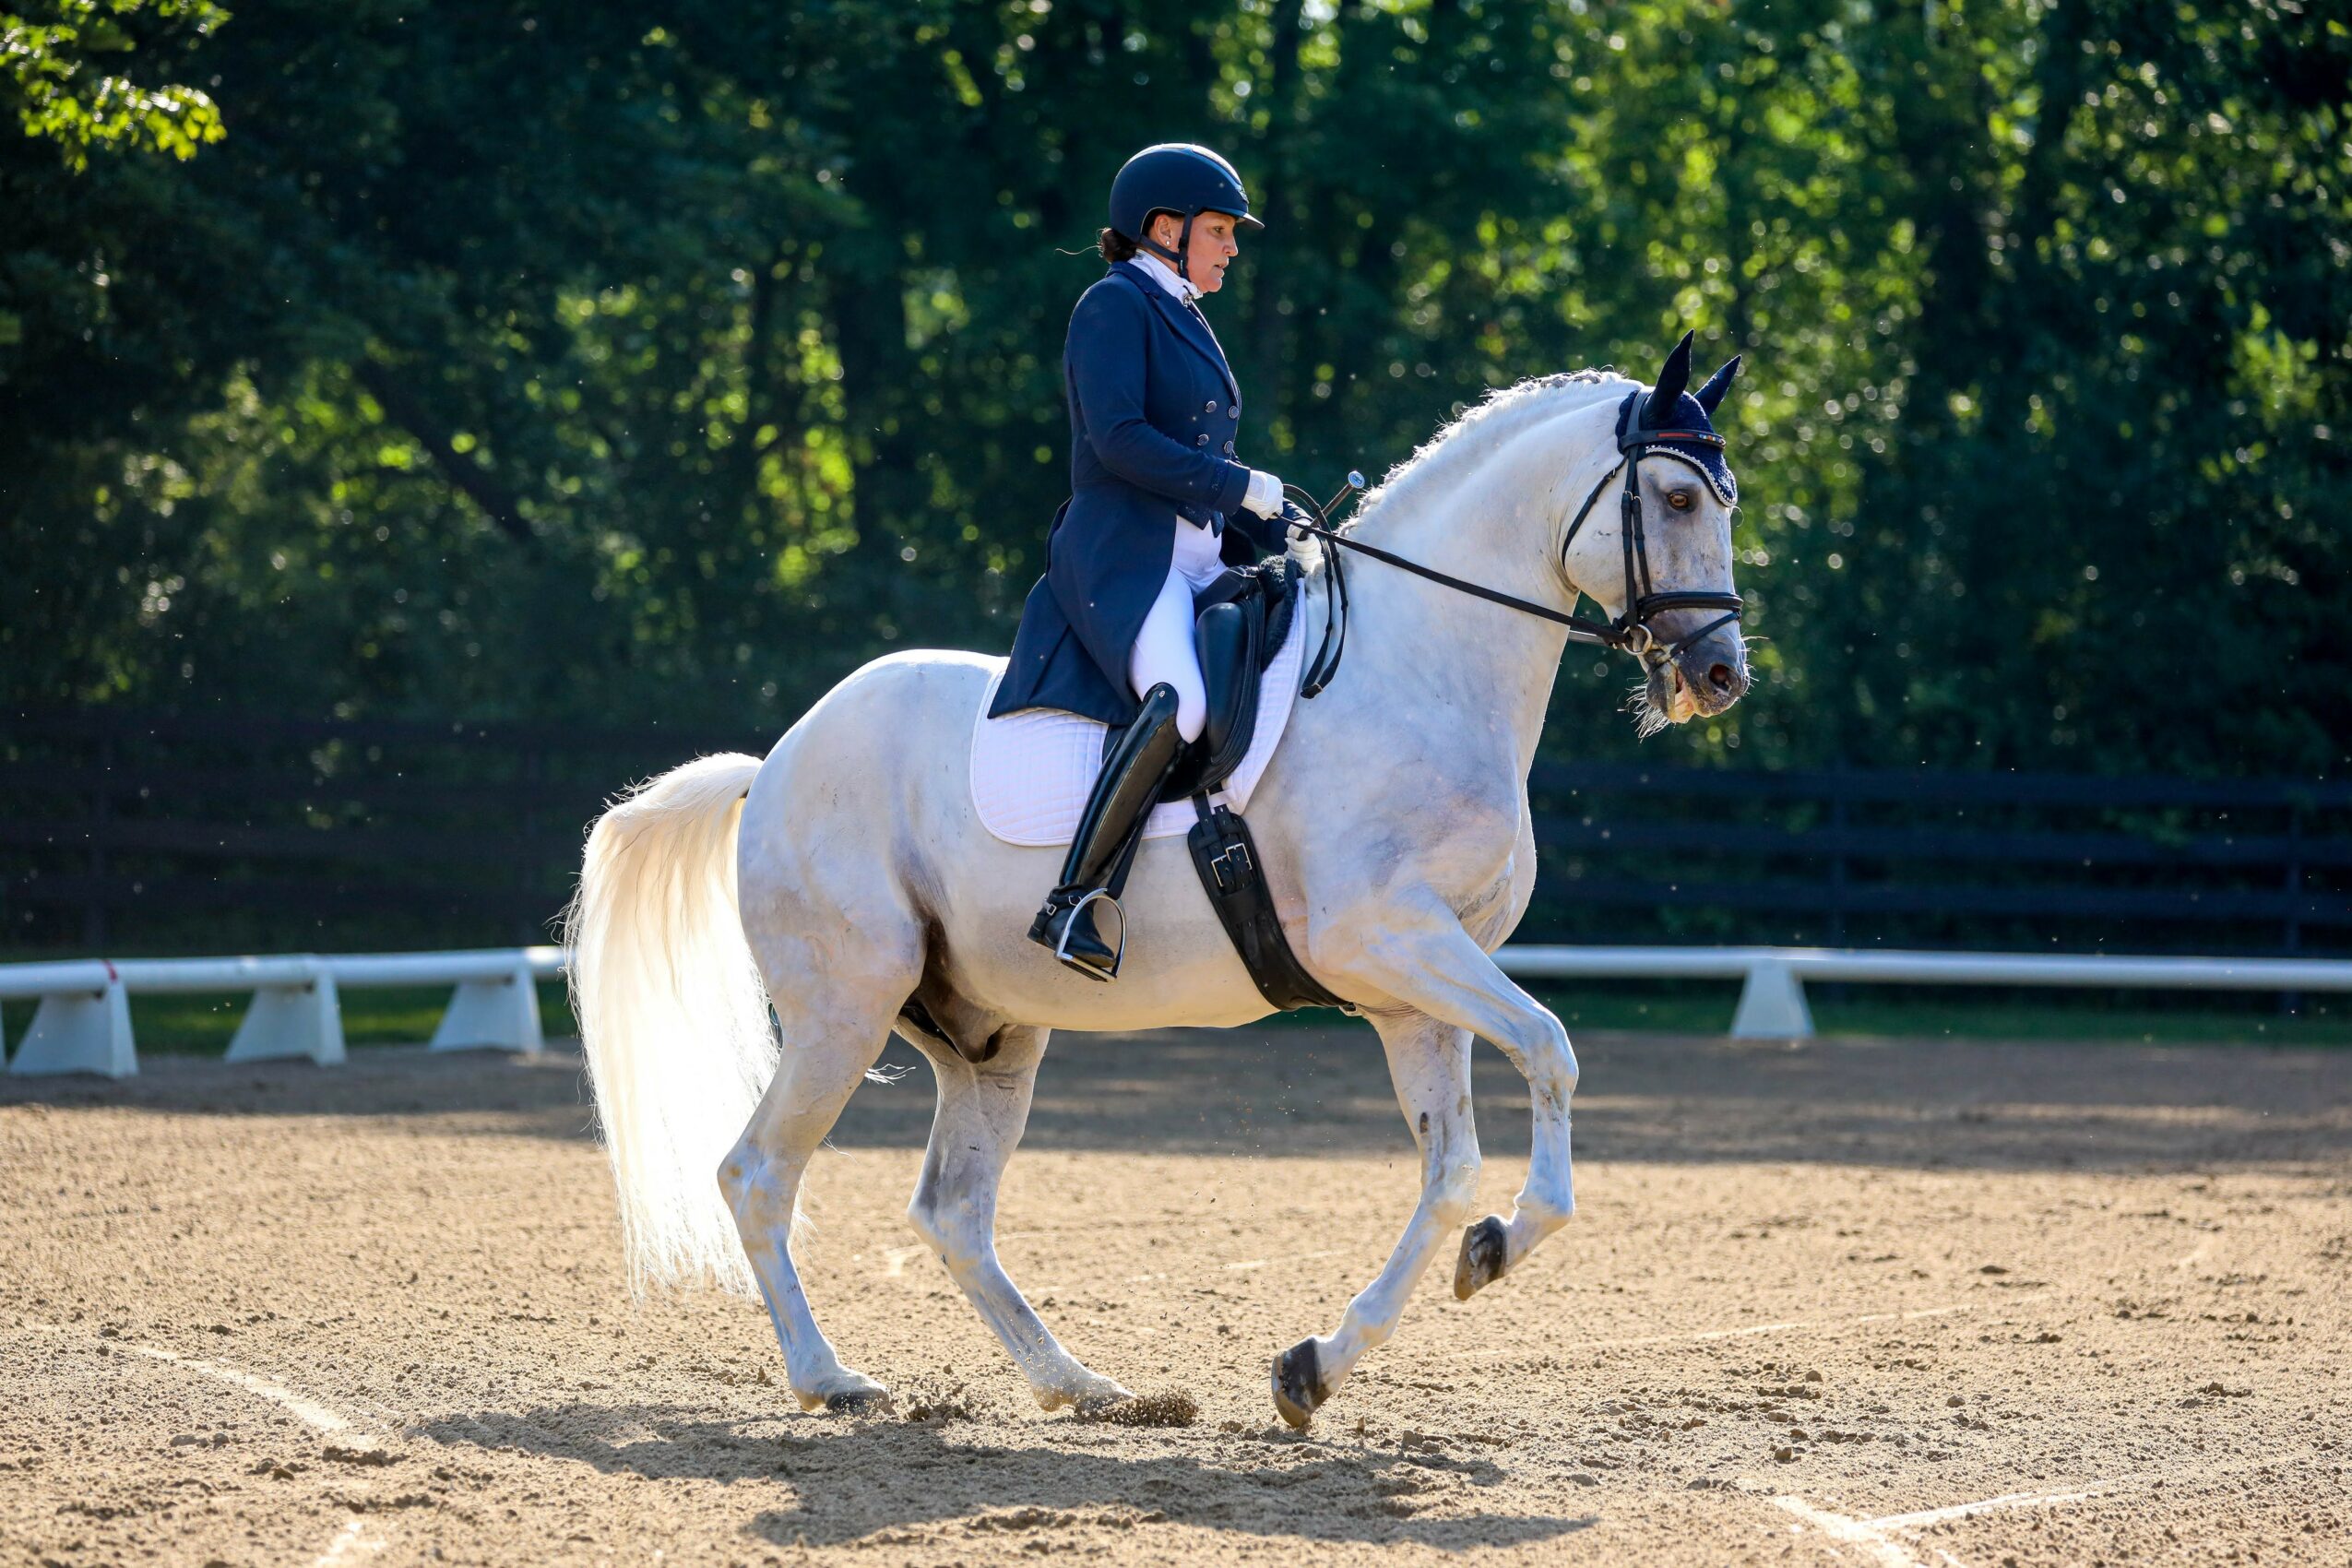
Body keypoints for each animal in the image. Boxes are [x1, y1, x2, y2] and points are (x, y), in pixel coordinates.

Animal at [564, 335, 1752, 1428]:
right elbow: (1551, 1047)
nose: (1720, 674)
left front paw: (1324, 1358)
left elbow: (1450, 1168)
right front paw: (1498, 1244)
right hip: (843, 1009)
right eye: (1679, 494)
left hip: (992, 1034)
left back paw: (1082, 1384)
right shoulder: (1386, 937)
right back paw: (832, 1378)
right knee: (758, 1173)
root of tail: (772, 765)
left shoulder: (1418, 984)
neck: (1420, 667)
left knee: (951, 1210)